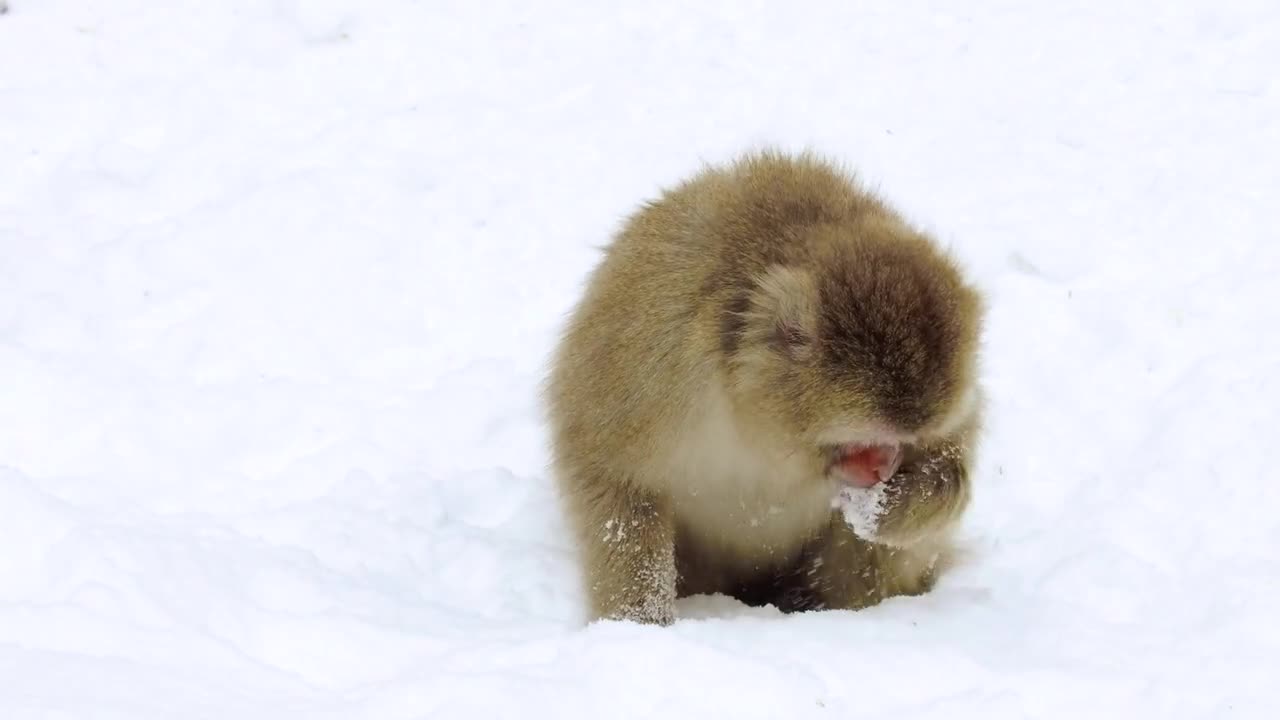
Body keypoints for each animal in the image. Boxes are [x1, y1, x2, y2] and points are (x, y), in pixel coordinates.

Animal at [545, 147, 983, 622]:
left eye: (904, 440)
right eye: (865, 440)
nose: (884, 466)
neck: (757, 423)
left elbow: (952, 462)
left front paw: (891, 508)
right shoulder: (656, 367)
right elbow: (614, 480)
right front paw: (641, 619)